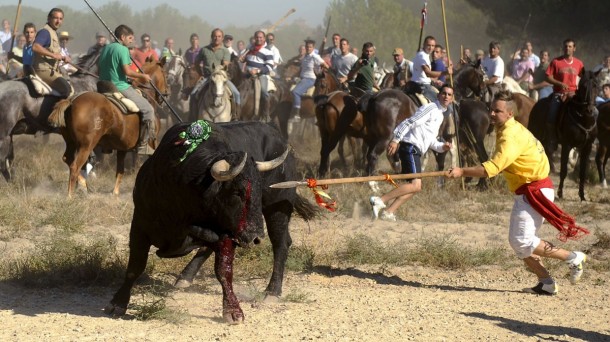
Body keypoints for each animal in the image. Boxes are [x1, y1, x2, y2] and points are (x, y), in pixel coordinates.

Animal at [48, 60, 166, 196]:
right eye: (164, 73)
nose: (166, 93)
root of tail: (72, 101)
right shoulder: (151, 144)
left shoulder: (122, 148)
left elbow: (120, 171)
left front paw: (115, 193)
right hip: (86, 145)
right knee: (75, 166)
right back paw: (70, 195)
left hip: (71, 142)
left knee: (67, 159)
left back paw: (83, 185)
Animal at [105, 121, 318, 324]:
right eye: (237, 192)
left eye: (259, 190)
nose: (255, 237)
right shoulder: (140, 224)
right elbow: (135, 267)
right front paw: (118, 303)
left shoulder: (227, 233)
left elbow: (223, 270)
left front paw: (232, 311)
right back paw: (185, 277)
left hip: (277, 210)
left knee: (281, 243)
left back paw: (272, 291)